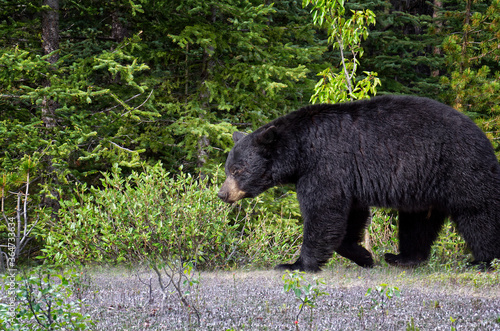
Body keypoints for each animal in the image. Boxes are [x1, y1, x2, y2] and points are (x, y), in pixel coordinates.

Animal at [217, 95, 500, 272]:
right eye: (228, 168)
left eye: (238, 170)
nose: (222, 194)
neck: (301, 150)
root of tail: (483, 137)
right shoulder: (347, 178)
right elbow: (350, 215)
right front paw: (365, 256)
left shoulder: (326, 165)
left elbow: (323, 212)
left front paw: (296, 264)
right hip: (425, 186)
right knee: (417, 223)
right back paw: (402, 258)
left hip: (460, 167)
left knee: (478, 214)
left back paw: (483, 261)